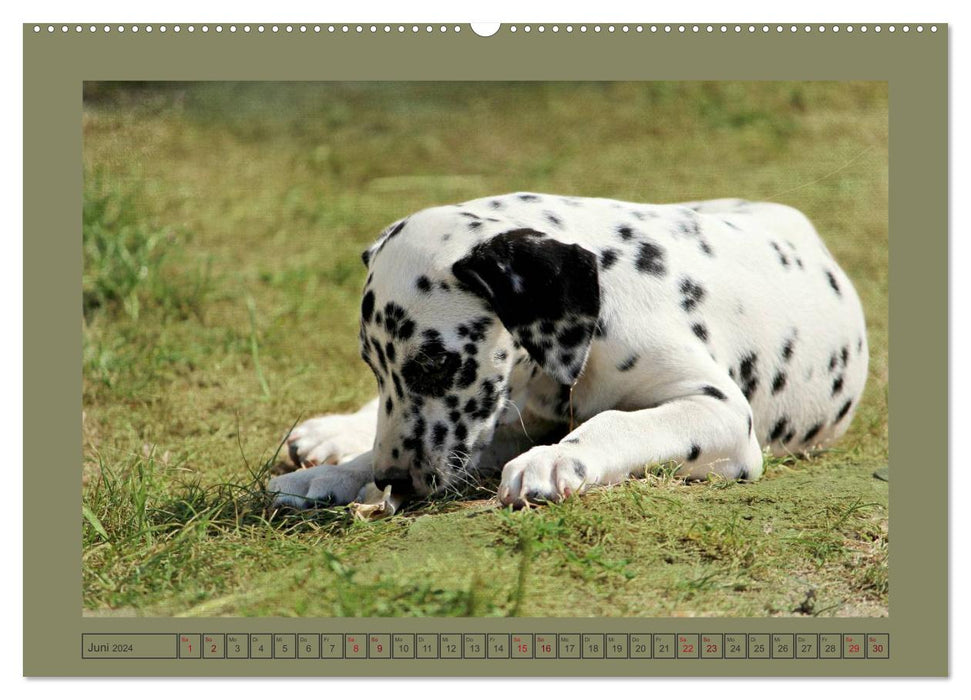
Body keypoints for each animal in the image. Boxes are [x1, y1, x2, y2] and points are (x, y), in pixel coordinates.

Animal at [270, 191, 868, 508]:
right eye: (374, 367)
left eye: (435, 364)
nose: (394, 481)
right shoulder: (502, 419)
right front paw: (339, 472)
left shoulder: (717, 410)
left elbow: (619, 422)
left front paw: (556, 458)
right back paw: (327, 438)